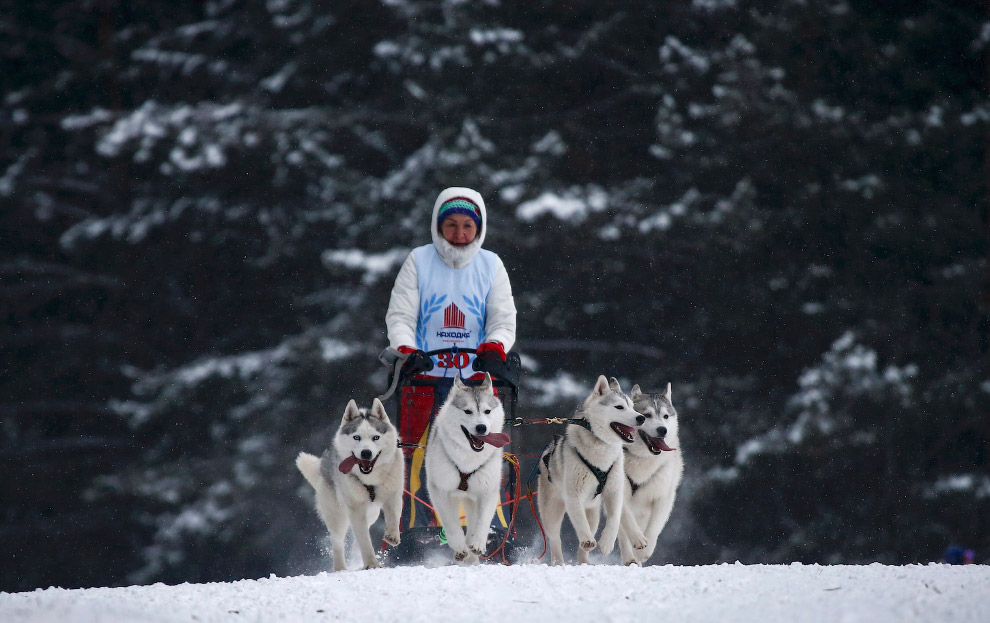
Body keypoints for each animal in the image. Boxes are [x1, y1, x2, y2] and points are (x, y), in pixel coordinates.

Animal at [296, 400, 404, 572]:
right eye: (356, 437)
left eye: (376, 437)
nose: (366, 453)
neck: (370, 479)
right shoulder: (356, 508)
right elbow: (364, 540)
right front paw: (371, 564)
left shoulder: (393, 494)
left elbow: (393, 517)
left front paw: (392, 535)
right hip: (337, 515)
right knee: (338, 540)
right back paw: (340, 567)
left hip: (372, 513)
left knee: (360, 534)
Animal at [426, 372, 512, 564]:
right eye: (467, 411)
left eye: (487, 411)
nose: (481, 427)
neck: (468, 460)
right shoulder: (440, 490)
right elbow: (451, 523)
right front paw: (459, 547)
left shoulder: (488, 491)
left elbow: (482, 521)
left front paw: (477, 543)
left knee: (473, 522)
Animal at [544, 376, 652, 564]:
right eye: (619, 407)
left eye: (632, 406)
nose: (641, 418)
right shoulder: (573, 496)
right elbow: (580, 521)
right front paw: (587, 539)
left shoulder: (614, 491)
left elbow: (615, 518)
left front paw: (607, 543)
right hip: (552, 512)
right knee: (555, 538)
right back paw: (559, 561)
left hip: (593, 513)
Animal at [620, 382, 680, 568]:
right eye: (646, 415)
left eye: (665, 416)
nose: (662, 430)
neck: (642, 460)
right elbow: (625, 523)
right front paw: (637, 543)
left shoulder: (663, 497)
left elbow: (654, 527)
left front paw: (644, 551)